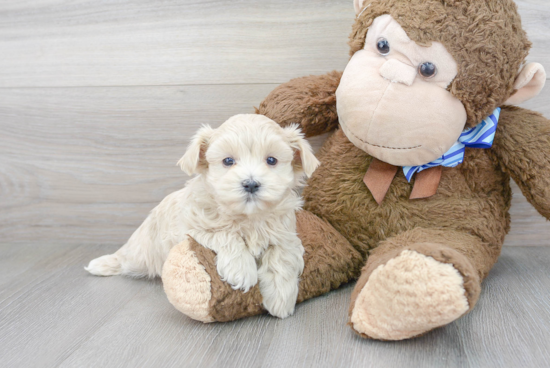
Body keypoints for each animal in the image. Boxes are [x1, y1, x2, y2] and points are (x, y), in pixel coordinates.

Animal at [85, 113, 320, 318]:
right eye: (228, 161)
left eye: (271, 160)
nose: (251, 184)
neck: (247, 216)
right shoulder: (191, 227)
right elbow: (224, 233)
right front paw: (241, 270)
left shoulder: (286, 234)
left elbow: (281, 256)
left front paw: (281, 297)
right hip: (142, 253)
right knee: (125, 258)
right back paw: (101, 264)